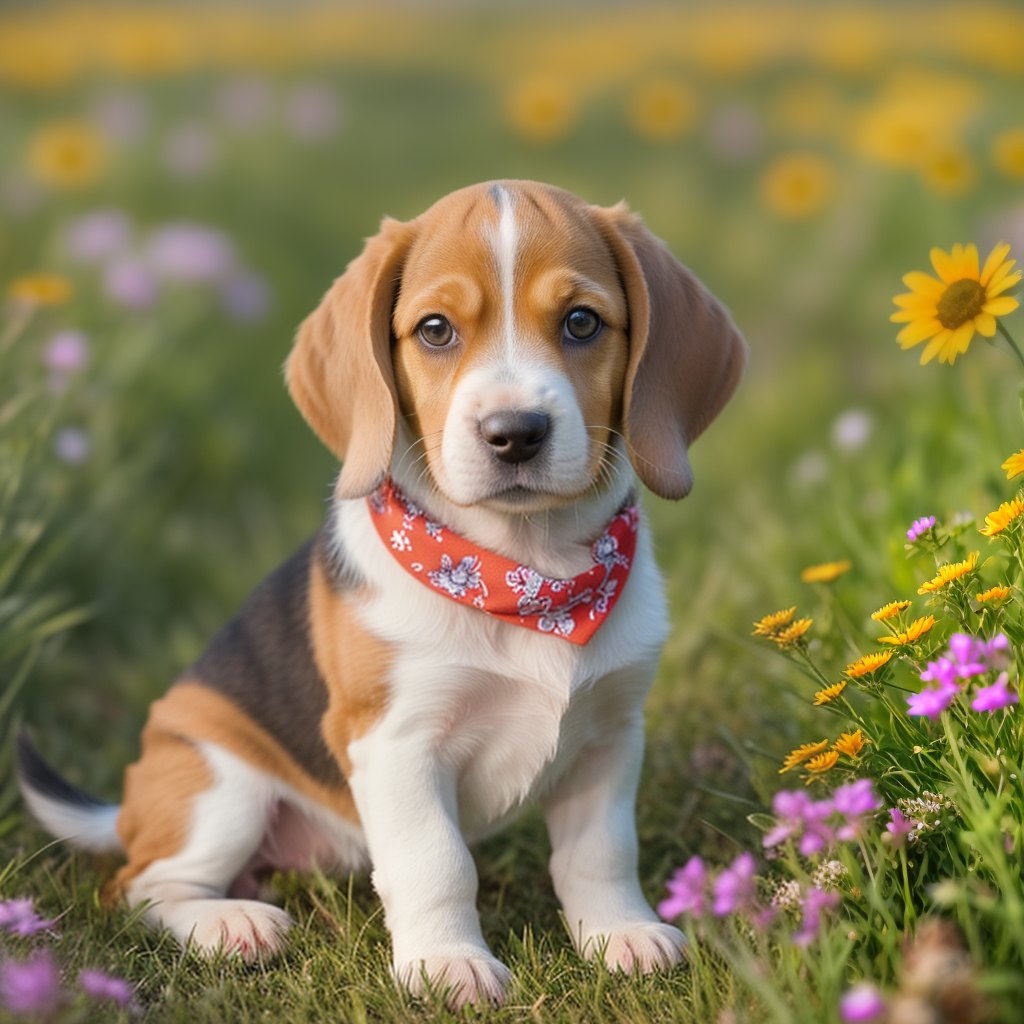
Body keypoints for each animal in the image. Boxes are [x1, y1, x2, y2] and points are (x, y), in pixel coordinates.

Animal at [18, 180, 745, 1003]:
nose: (514, 432)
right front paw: (446, 963)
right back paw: (230, 923)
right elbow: (436, 862)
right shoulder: (397, 743)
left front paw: (619, 933)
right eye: (434, 330)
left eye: (582, 321)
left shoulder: (611, 735)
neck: (528, 576)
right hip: (219, 782)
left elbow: (601, 853)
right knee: (141, 886)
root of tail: (131, 809)